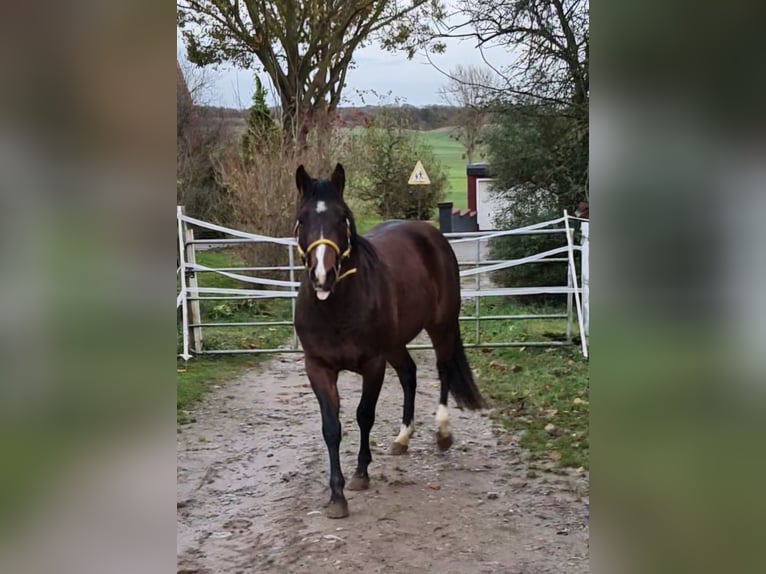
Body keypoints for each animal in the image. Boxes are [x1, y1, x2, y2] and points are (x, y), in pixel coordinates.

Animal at [294, 164, 486, 520]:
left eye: (342, 217)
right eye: (302, 218)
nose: (323, 276)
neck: (336, 308)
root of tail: (431, 234)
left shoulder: (373, 363)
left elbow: (364, 415)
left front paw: (360, 474)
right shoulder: (318, 367)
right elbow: (331, 428)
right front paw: (336, 496)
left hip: (441, 326)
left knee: (442, 370)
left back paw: (442, 433)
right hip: (396, 344)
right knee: (409, 374)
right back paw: (402, 438)